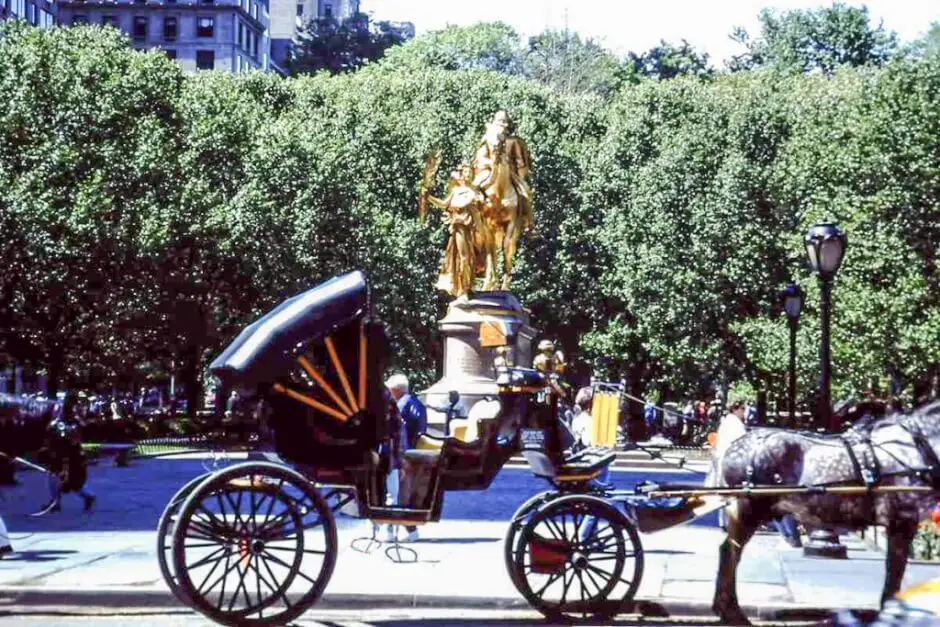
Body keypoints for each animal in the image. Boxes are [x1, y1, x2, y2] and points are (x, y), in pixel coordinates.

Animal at [708, 402, 940, 624]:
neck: (916, 447)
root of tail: (734, 444)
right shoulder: (902, 520)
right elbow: (895, 570)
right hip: (748, 510)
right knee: (731, 553)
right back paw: (732, 612)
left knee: (728, 551)